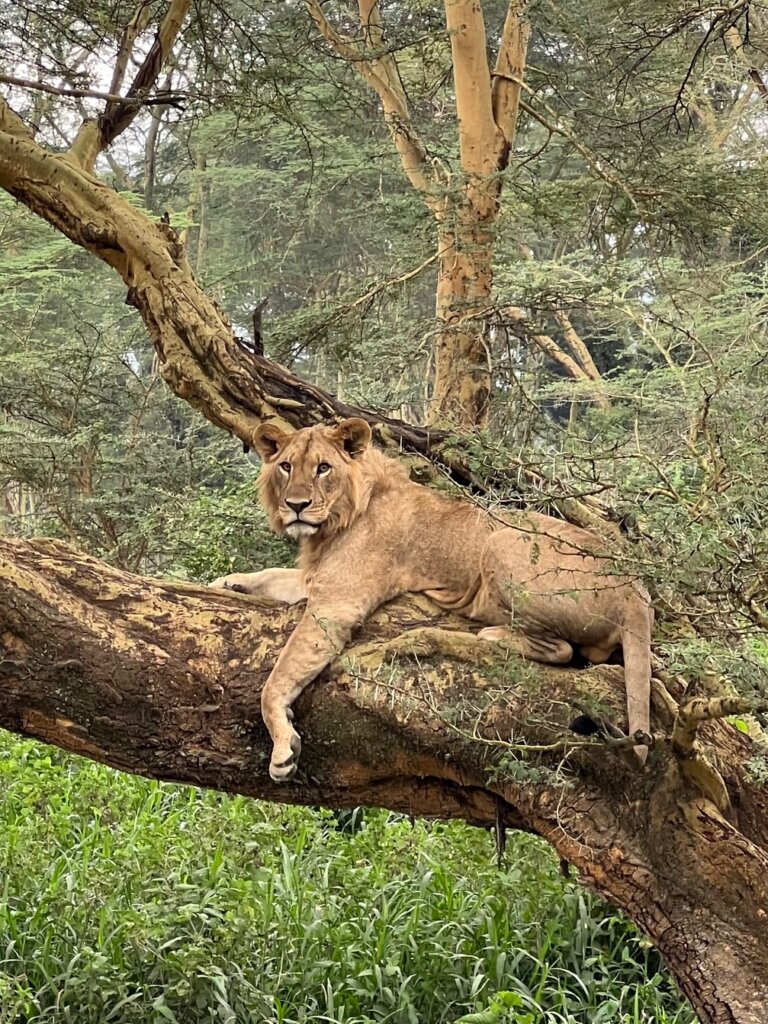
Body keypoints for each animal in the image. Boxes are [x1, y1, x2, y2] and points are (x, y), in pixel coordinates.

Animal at [211, 419, 655, 778]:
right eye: (286, 466)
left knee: (564, 651)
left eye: (323, 468)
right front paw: (226, 583)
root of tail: (636, 588)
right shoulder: (317, 578)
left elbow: (276, 678)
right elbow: (269, 575)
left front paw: (282, 748)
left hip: (501, 541)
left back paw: (495, 635)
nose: (297, 506)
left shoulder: (337, 601)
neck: (335, 522)